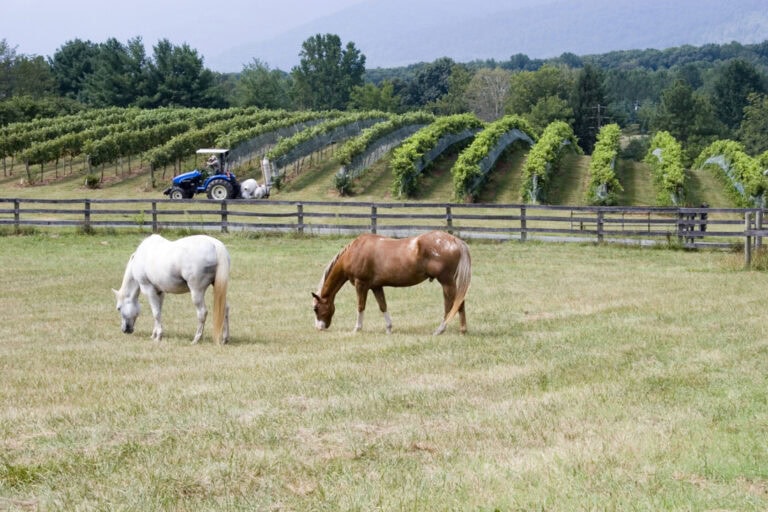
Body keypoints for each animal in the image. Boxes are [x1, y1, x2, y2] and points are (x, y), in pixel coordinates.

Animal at [312, 231, 471, 335]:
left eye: (316, 308)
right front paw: (388, 328)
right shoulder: (376, 287)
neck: (355, 251)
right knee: (455, 303)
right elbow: (383, 306)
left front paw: (357, 328)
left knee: (456, 304)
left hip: (447, 282)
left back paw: (447, 330)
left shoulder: (360, 284)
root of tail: (455, 240)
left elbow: (360, 306)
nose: (319, 328)